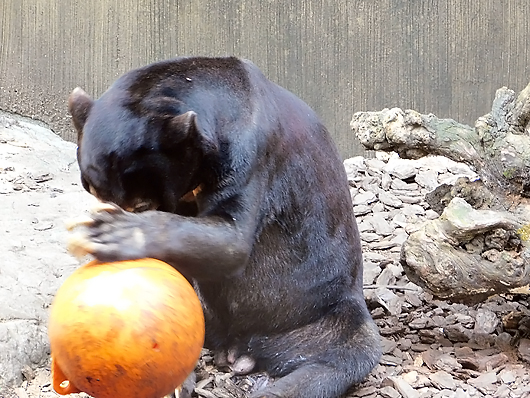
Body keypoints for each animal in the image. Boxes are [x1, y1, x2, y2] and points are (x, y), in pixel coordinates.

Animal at [67, 56, 380, 398]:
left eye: (141, 205)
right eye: (92, 191)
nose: (111, 211)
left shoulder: (250, 154)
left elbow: (231, 239)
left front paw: (109, 233)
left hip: (324, 312)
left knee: (332, 361)